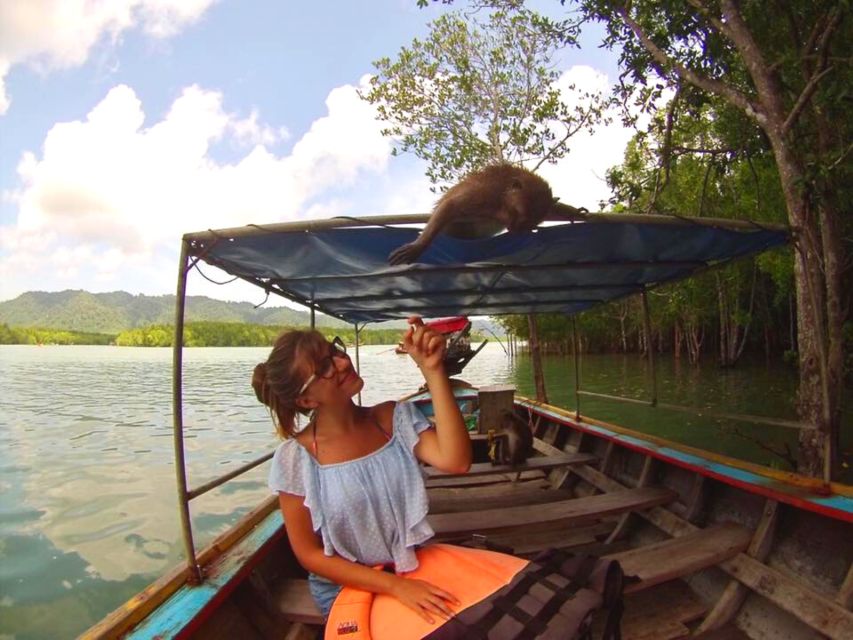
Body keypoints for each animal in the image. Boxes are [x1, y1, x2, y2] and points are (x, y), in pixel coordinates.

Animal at [388, 165, 564, 268]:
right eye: (518, 213)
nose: (517, 228)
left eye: (529, 223)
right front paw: (418, 246)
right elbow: (450, 206)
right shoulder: (485, 195)